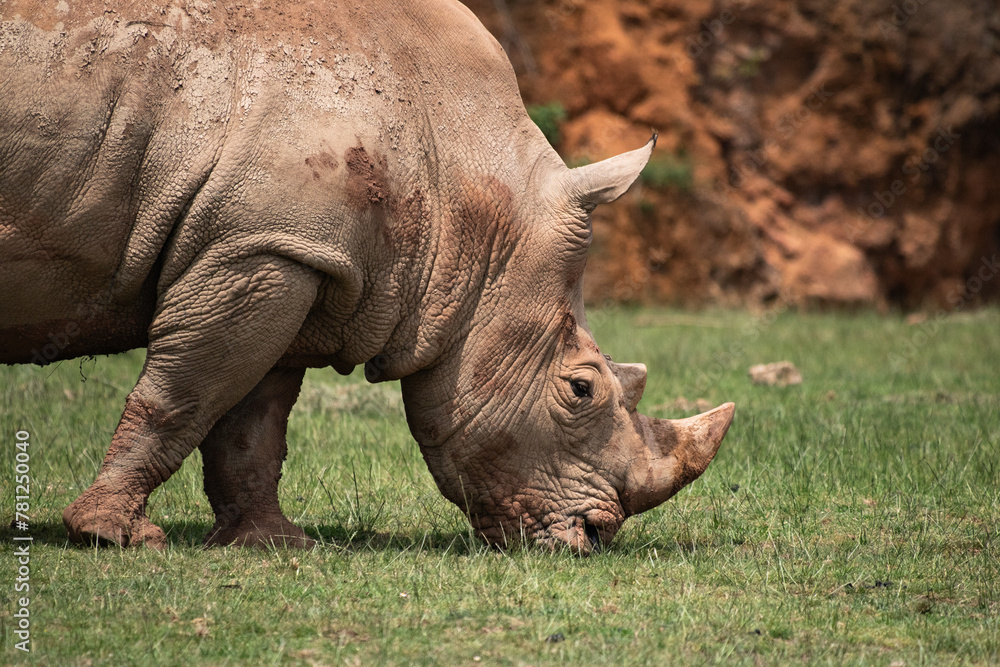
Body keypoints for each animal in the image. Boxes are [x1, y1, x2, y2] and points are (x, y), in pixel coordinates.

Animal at [0, 0, 734, 554]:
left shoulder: (287, 251)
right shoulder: (260, 245)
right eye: (581, 389)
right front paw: (115, 536)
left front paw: (270, 543)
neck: (469, 189)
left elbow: (251, 419)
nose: (596, 535)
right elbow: (182, 394)